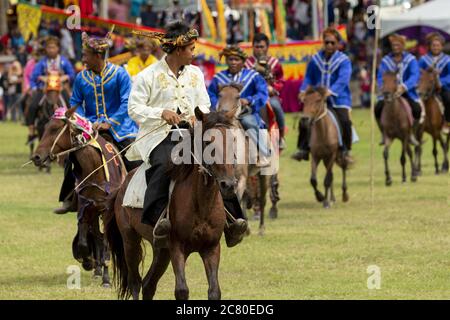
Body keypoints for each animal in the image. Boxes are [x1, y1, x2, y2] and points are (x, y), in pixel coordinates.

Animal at [31, 106, 126, 286]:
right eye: (45, 127)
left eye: (55, 128)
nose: (36, 157)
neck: (95, 171)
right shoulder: (86, 208)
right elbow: (83, 242)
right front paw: (89, 261)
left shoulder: (106, 211)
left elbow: (106, 243)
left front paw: (106, 279)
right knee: (96, 236)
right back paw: (97, 270)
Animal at [104, 109, 237, 298]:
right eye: (207, 142)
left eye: (233, 141)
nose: (228, 184)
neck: (201, 204)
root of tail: (122, 186)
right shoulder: (177, 247)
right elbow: (181, 290)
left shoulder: (211, 248)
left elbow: (214, 291)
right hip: (130, 241)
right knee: (135, 282)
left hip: (161, 250)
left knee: (148, 284)